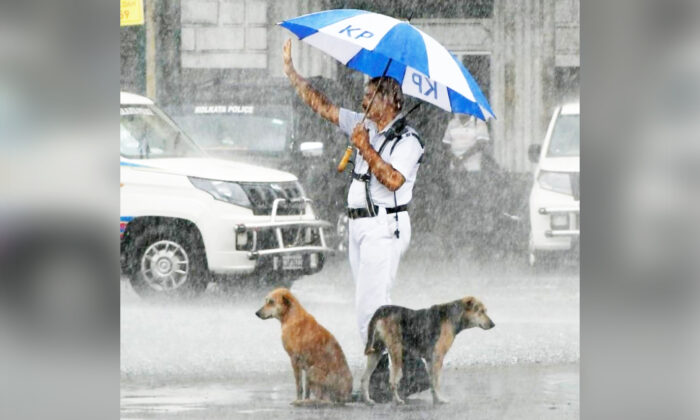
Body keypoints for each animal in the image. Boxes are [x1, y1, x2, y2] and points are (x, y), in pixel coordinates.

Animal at [360, 296, 492, 406]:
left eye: (485, 311)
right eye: (481, 311)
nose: (493, 324)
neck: (453, 315)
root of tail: (382, 309)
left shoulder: (429, 359)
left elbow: (432, 383)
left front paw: (436, 400)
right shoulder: (438, 357)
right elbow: (437, 382)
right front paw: (441, 400)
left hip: (376, 352)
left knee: (365, 379)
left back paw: (368, 401)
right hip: (396, 352)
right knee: (392, 382)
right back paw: (397, 401)